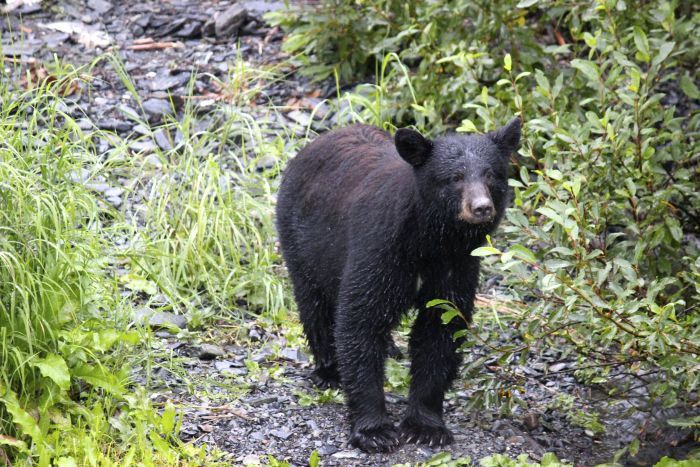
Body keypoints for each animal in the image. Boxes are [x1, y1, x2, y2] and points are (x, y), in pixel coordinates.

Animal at [274, 119, 520, 454]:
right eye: (454, 178)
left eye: (491, 174)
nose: (481, 207)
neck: (431, 240)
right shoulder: (381, 248)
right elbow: (361, 320)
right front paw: (374, 431)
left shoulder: (457, 265)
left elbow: (441, 329)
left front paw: (426, 426)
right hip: (303, 243)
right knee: (315, 304)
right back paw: (329, 370)